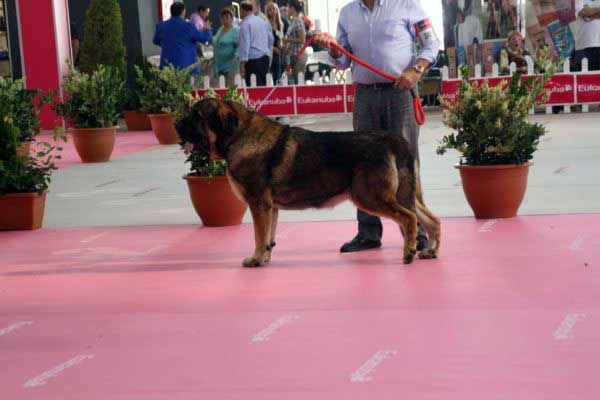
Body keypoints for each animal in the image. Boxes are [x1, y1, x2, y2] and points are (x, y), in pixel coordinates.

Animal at [175, 98, 440, 268]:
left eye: (197, 115)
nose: (176, 124)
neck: (238, 135)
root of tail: (396, 142)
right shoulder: (270, 208)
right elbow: (268, 236)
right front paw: (265, 258)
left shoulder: (258, 203)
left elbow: (259, 235)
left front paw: (255, 259)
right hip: (407, 193)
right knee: (432, 220)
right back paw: (431, 251)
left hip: (371, 196)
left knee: (409, 218)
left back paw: (409, 253)